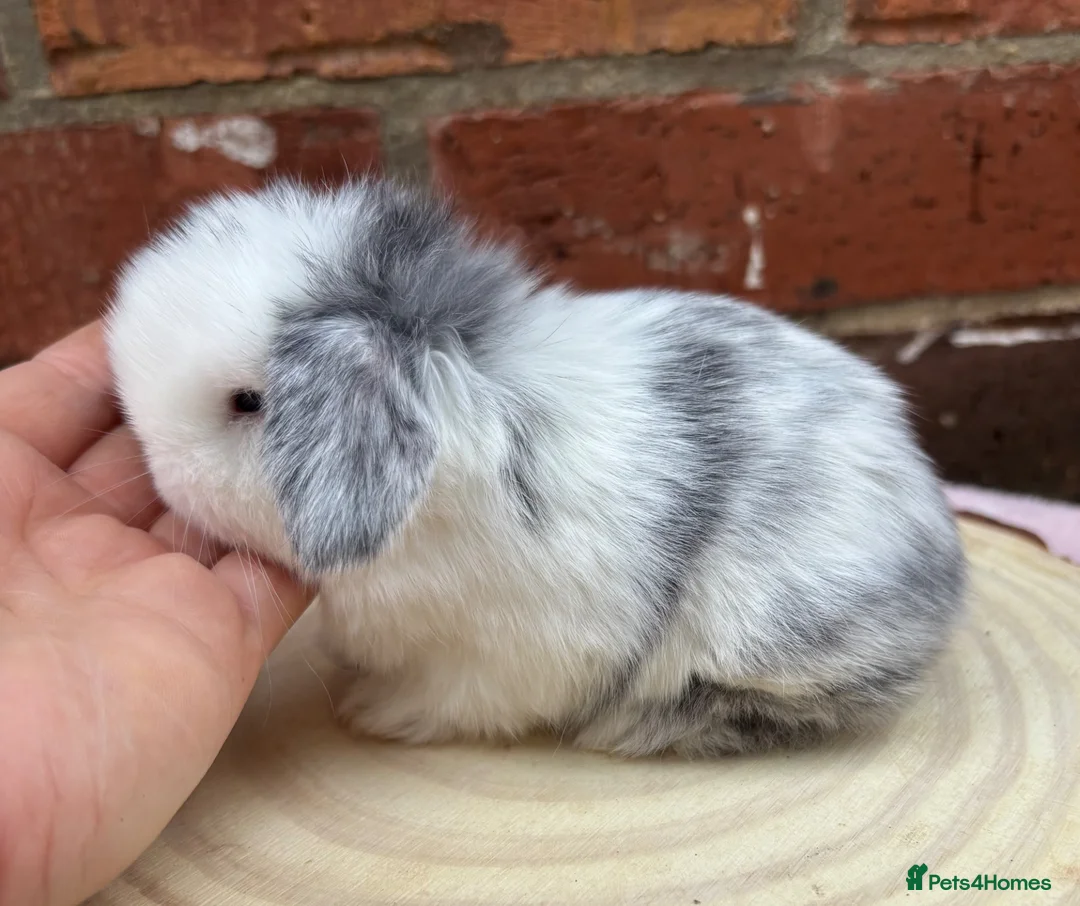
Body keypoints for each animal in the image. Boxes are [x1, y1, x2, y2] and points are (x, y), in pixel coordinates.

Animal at [105, 176, 968, 758]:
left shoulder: (504, 655)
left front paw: (374, 713)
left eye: (247, 402)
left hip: (776, 639)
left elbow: (453, 700)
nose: (158, 469)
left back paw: (629, 728)